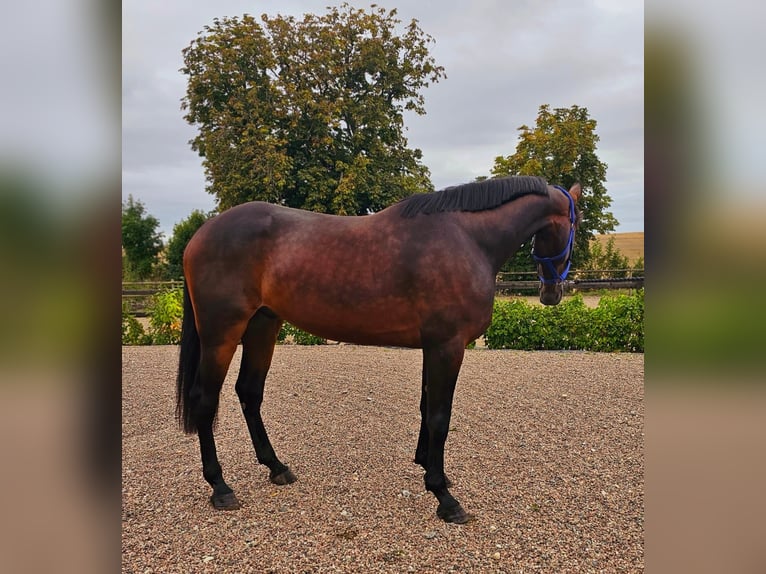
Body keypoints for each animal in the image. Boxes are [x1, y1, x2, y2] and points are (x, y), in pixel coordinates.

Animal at [176, 177, 584, 528]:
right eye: (575, 225)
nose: (553, 293)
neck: (467, 239)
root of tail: (200, 235)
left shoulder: (434, 345)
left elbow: (426, 408)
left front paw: (429, 468)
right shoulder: (448, 346)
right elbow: (440, 416)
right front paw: (444, 497)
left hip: (263, 325)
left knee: (249, 392)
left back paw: (276, 467)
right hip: (221, 334)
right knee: (204, 400)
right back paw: (220, 487)